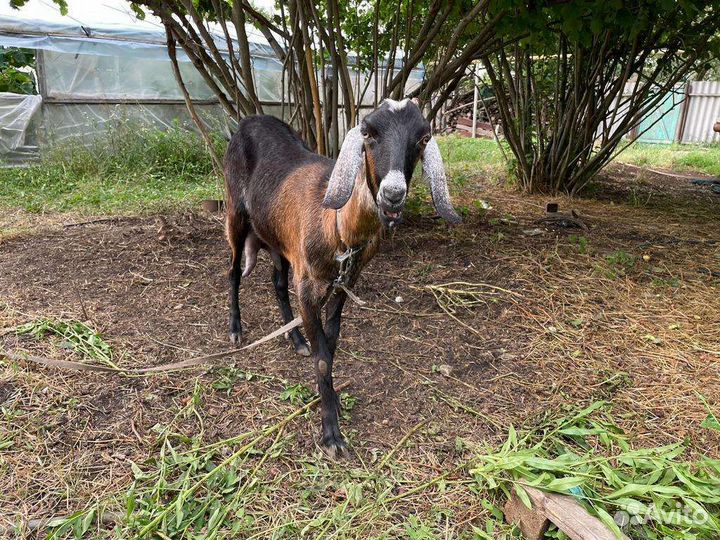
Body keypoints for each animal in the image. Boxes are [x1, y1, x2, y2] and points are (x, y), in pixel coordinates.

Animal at [224, 98, 460, 457]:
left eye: (423, 138)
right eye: (369, 132)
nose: (393, 194)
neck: (338, 229)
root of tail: (248, 121)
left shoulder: (344, 285)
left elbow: (331, 345)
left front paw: (332, 400)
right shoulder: (307, 288)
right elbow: (322, 359)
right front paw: (331, 434)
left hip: (277, 237)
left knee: (277, 283)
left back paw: (296, 340)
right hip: (235, 214)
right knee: (234, 272)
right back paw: (236, 328)